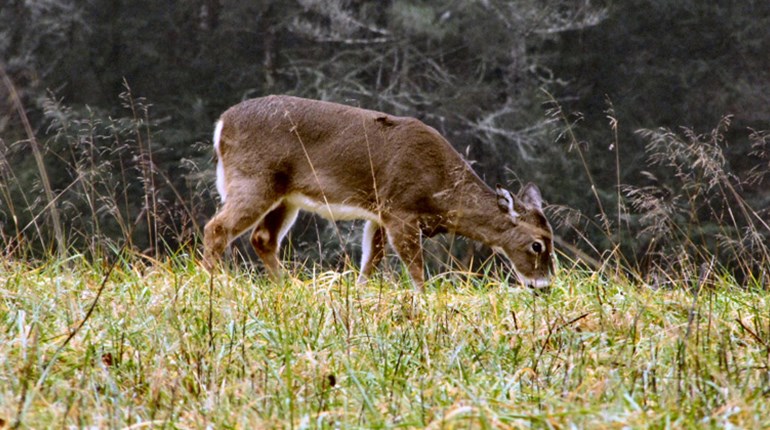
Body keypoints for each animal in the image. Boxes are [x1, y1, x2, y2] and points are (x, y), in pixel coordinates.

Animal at [202, 95, 554, 290]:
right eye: (537, 244)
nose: (543, 285)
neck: (441, 193)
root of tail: (221, 124)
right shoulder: (401, 209)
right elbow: (416, 271)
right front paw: (424, 301)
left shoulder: (380, 214)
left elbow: (369, 263)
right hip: (253, 179)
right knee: (216, 228)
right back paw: (214, 283)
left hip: (285, 196)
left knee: (263, 238)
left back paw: (286, 287)